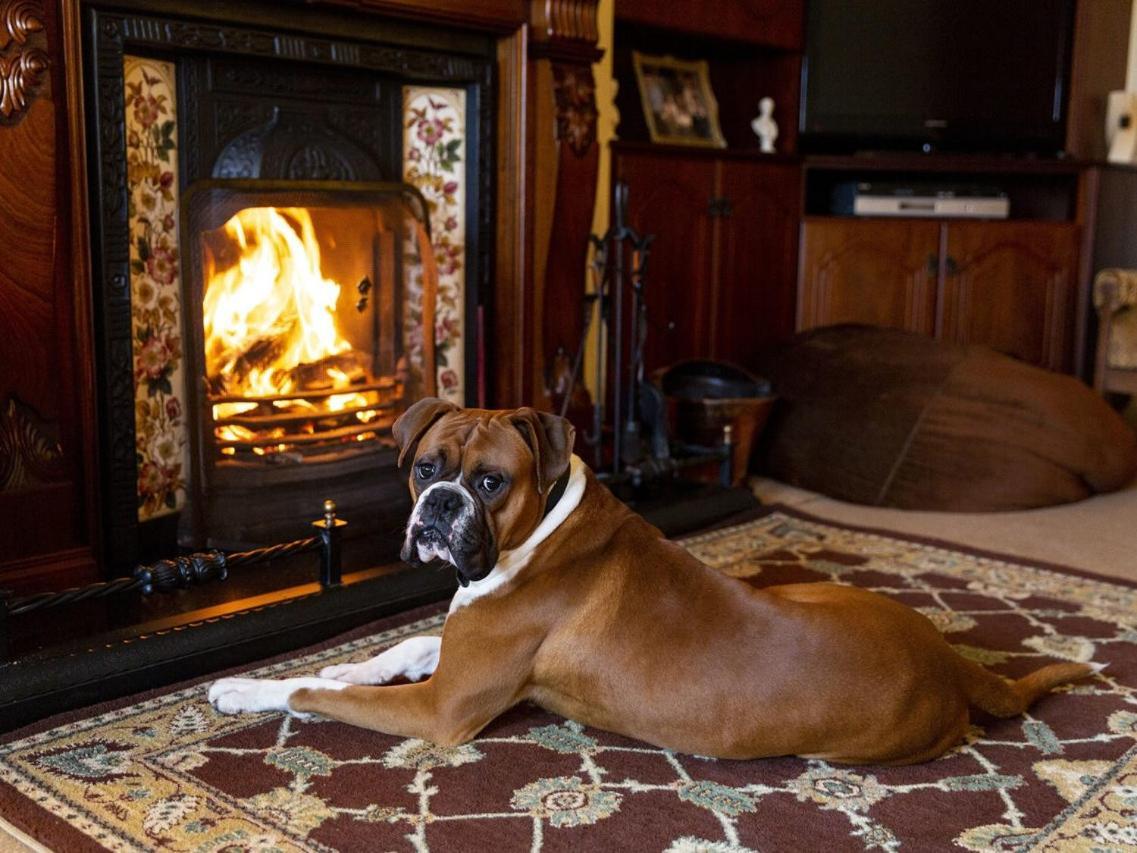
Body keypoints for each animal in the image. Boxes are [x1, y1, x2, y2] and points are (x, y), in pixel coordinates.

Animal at [209, 400, 1096, 768]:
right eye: (425, 467)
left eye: (490, 482)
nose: (440, 504)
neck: (541, 529)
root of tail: (952, 663)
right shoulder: (454, 646)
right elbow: (397, 645)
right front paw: (340, 660)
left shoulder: (442, 709)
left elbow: (309, 694)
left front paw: (246, 688)